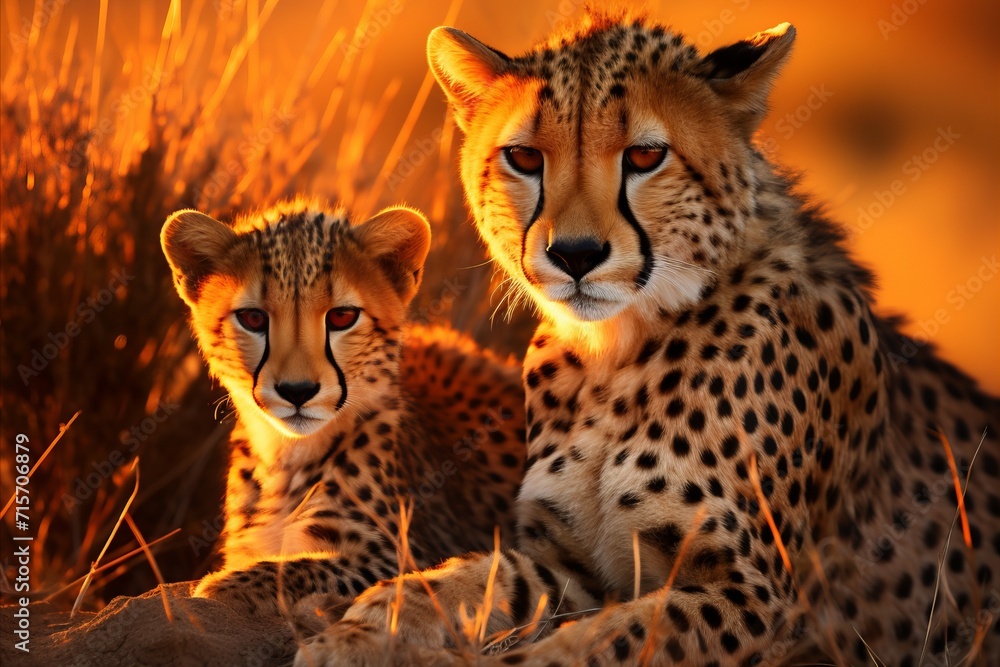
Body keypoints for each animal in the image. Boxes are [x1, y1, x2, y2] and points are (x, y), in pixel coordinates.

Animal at [161, 199, 525, 621]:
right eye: (253, 318)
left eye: (341, 317)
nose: (297, 391)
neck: (286, 458)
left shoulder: (404, 554)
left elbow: (303, 569)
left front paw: (222, 585)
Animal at [297, 10, 1000, 667]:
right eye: (524, 158)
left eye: (643, 156)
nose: (576, 254)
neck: (613, 357)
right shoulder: (575, 569)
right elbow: (471, 581)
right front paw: (360, 630)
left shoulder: (757, 598)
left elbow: (604, 642)